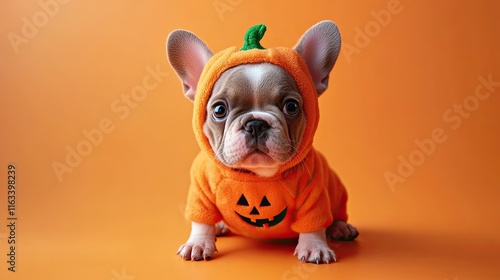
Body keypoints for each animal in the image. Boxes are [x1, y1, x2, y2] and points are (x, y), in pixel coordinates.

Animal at [168, 20, 360, 264]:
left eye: (291, 107)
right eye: (219, 110)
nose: (256, 124)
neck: (257, 175)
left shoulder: (315, 193)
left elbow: (314, 224)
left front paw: (315, 247)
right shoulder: (200, 191)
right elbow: (201, 221)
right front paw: (199, 244)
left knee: (335, 215)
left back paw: (340, 227)